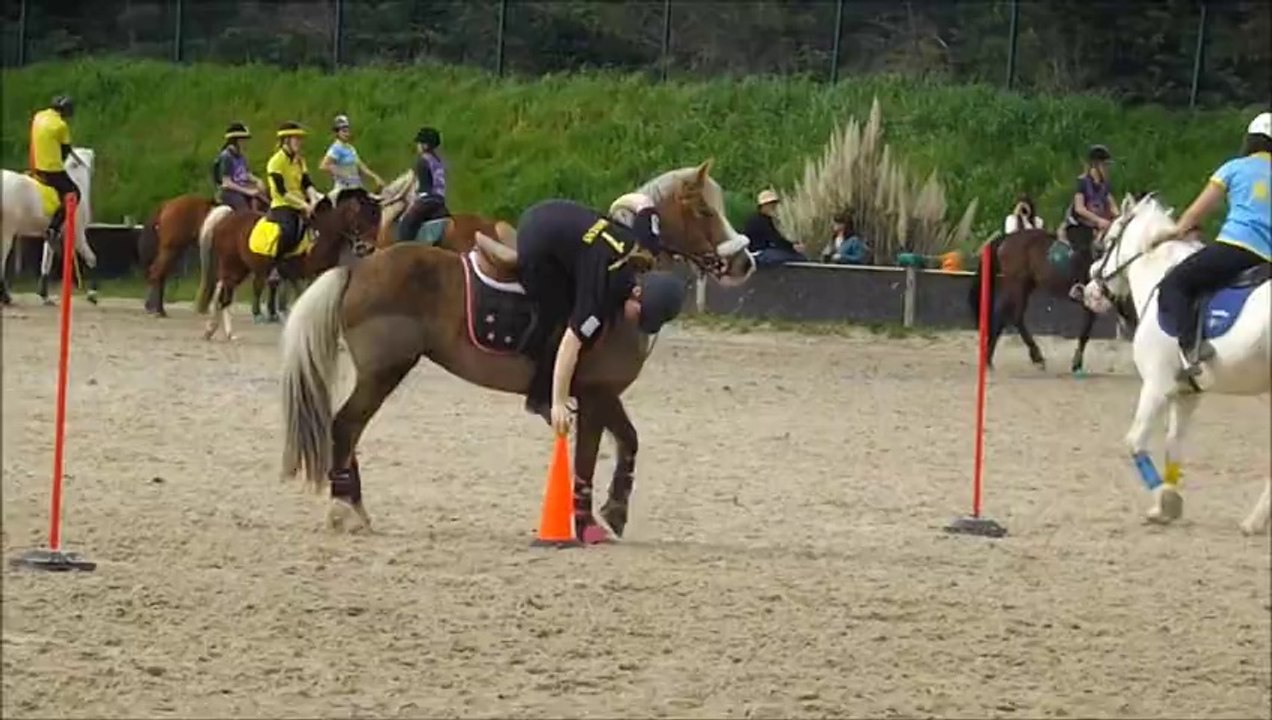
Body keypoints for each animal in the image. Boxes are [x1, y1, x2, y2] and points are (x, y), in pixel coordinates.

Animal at [1, 149, 97, 306]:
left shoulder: (51, 235)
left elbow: (46, 262)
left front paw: (44, 295)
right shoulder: (78, 236)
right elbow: (92, 259)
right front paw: (92, 294)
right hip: (7, 233)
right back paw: (6, 297)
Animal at [139, 192, 268, 317]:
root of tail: (168, 204)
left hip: (173, 251)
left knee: (160, 274)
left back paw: (154, 307)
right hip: (171, 249)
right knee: (158, 273)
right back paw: (158, 310)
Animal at [194, 195, 380, 340]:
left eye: (377, 220)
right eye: (362, 220)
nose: (368, 248)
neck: (321, 237)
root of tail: (227, 217)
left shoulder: (319, 275)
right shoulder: (299, 276)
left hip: (240, 268)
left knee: (224, 293)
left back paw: (221, 331)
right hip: (231, 264)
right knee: (224, 294)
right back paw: (222, 330)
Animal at [968, 221, 1138, 374]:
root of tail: (1007, 238)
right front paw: (1076, 363)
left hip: (1026, 285)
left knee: (1013, 316)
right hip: (1016, 284)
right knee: (1007, 316)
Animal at [1082, 192, 1270, 533]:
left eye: (1106, 243)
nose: (1088, 291)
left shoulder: (1157, 385)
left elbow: (1135, 442)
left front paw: (1164, 503)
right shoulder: (1186, 394)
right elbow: (1173, 447)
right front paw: (1167, 503)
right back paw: (1255, 521)